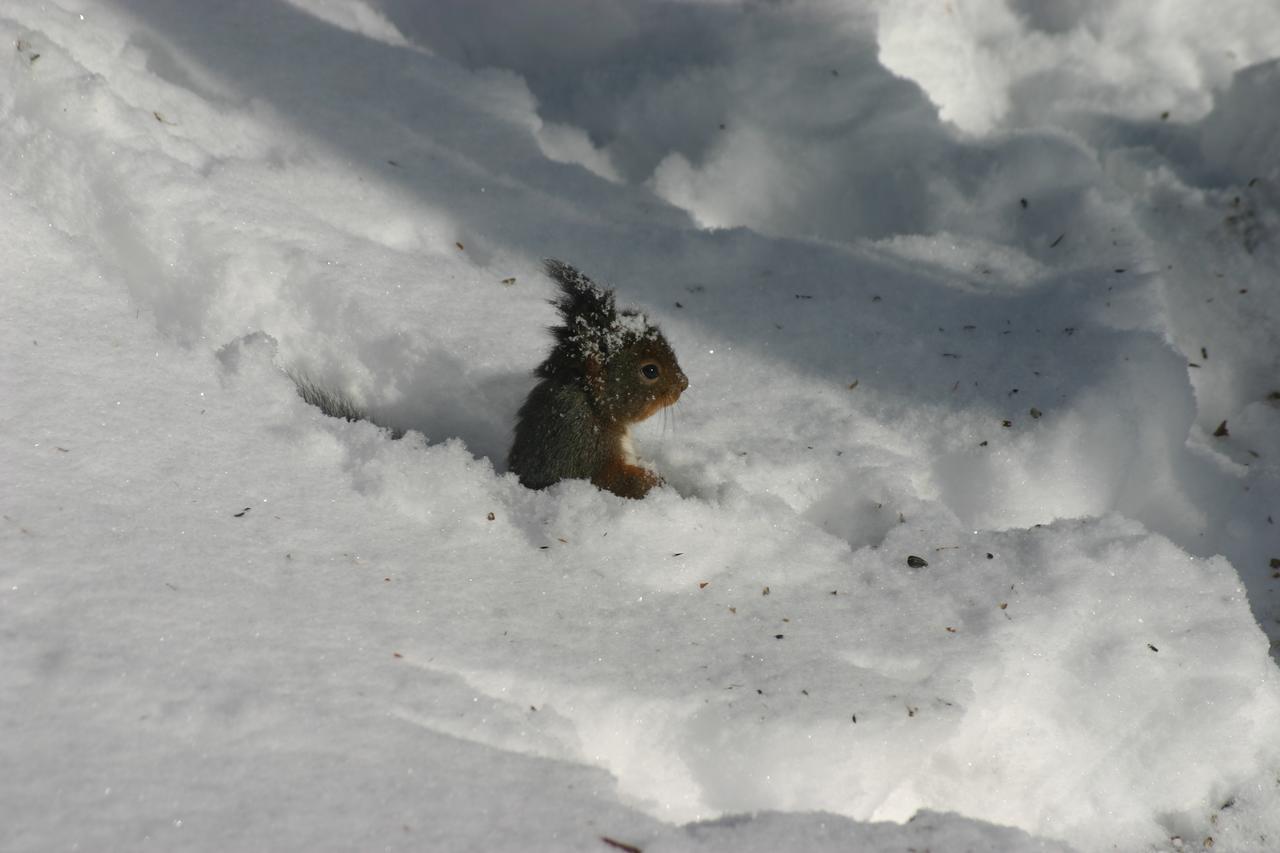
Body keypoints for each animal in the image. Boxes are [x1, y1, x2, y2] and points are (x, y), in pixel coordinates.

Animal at [506, 258, 691, 499]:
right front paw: (656, 484)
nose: (684, 384)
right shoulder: (584, 446)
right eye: (650, 371)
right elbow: (614, 479)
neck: (593, 406)